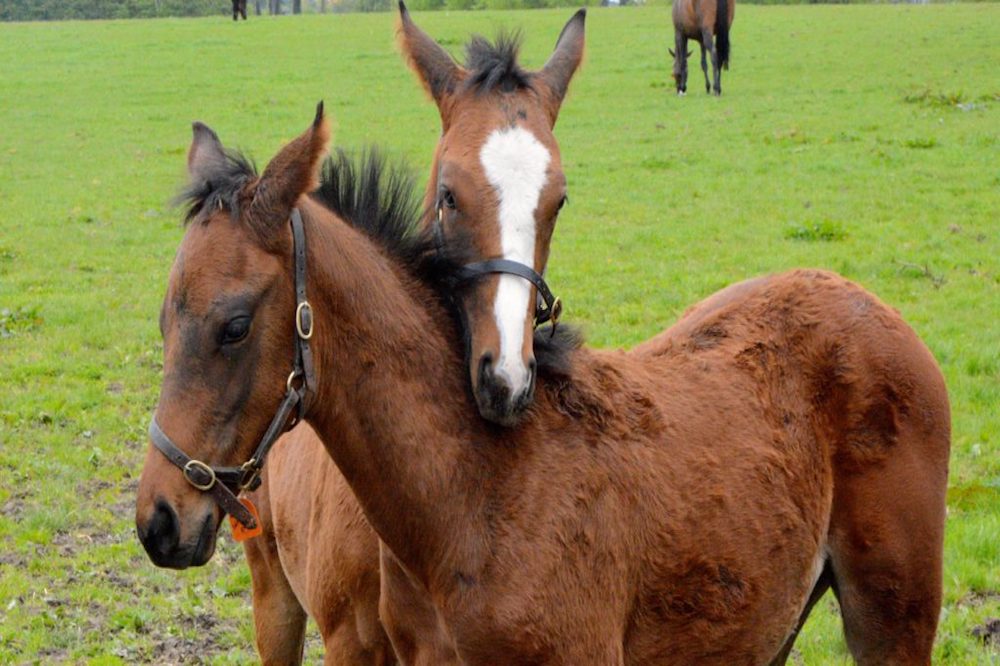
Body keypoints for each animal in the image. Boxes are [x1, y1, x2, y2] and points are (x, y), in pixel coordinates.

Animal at [137, 104, 948, 660]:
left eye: (234, 325)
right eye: (165, 320)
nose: (159, 521)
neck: (474, 495)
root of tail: (871, 304)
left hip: (892, 616)